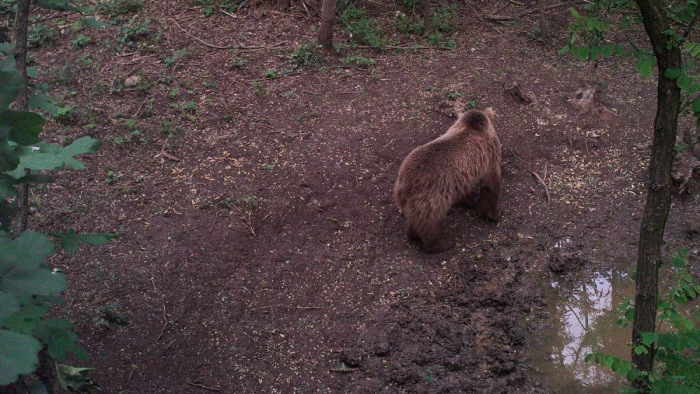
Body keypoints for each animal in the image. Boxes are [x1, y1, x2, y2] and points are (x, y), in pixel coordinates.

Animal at [394, 107, 504, 252]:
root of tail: (403, 185)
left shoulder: (461, 177)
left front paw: (470, 200)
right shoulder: (490, 155)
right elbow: (491, 185)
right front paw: (495, 214)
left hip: (411, 201)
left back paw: (413, 234)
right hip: (430, 198)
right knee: (430, 222)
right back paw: (442, 243)